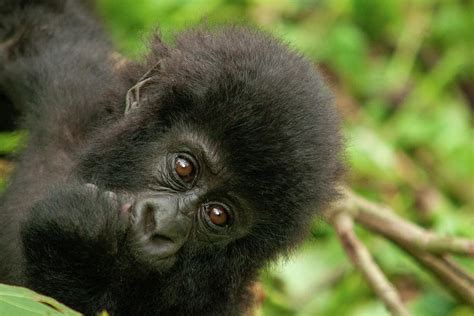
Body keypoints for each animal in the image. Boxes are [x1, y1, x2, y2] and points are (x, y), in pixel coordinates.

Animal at [0, 1, 340, 314]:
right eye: (184, 167)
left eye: (219, 214)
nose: (162, 227)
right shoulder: (72, 84)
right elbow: (39, 20)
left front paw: (74, 248)